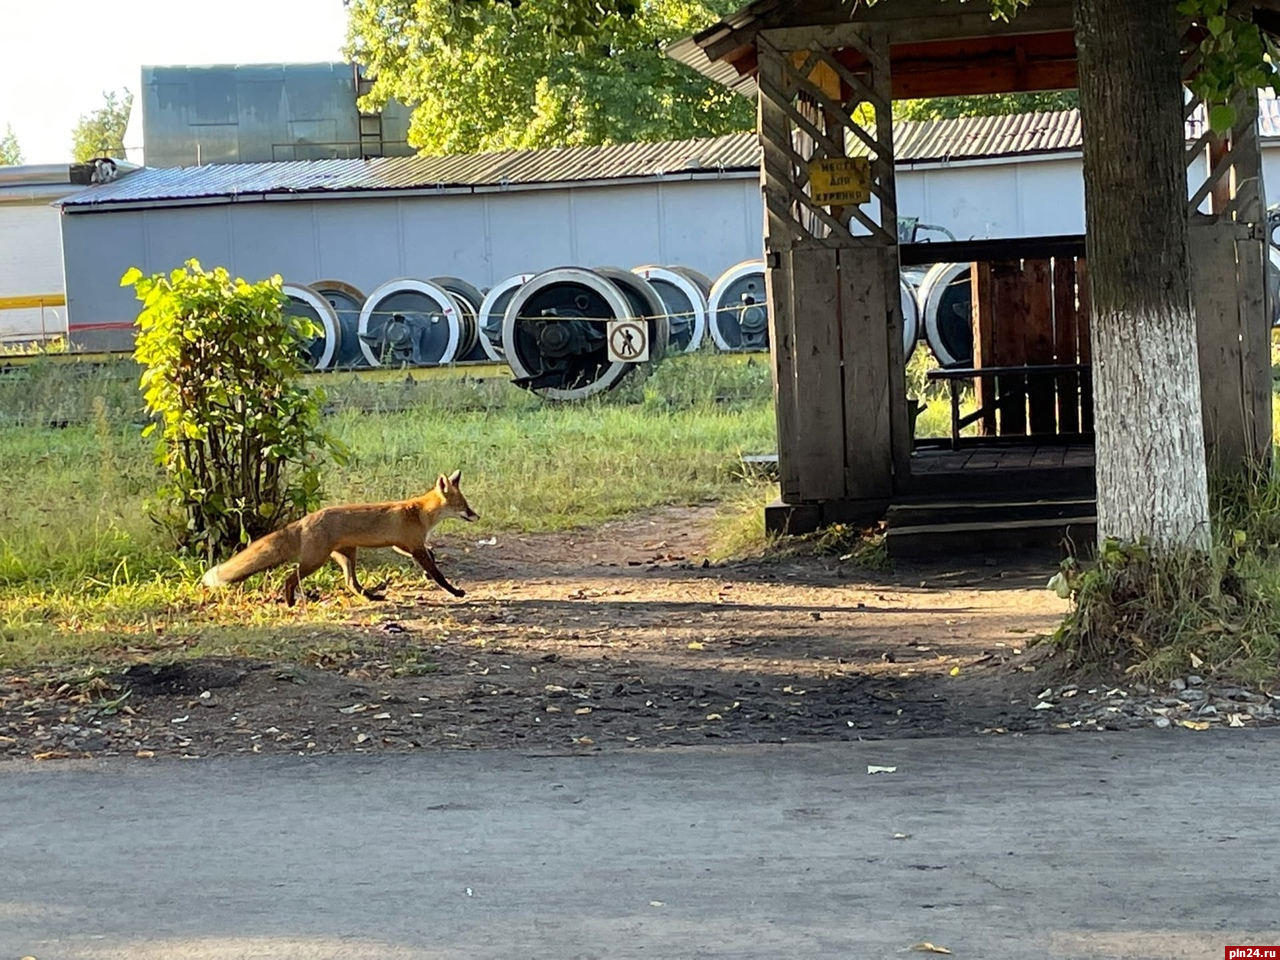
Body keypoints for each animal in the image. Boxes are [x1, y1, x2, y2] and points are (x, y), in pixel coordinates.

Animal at [199, 473, 481, 609]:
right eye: (463, 505)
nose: (476, 515)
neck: (420, 513)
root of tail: (305, 519)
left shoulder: (404, 546)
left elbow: (431, 557)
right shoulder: (413, 546)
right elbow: (437, 574)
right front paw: (455, 591)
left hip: (347, 556)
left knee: (350, 584)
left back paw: (372, 597)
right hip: (316, 560)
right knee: (290, 578)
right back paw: (290, 602)